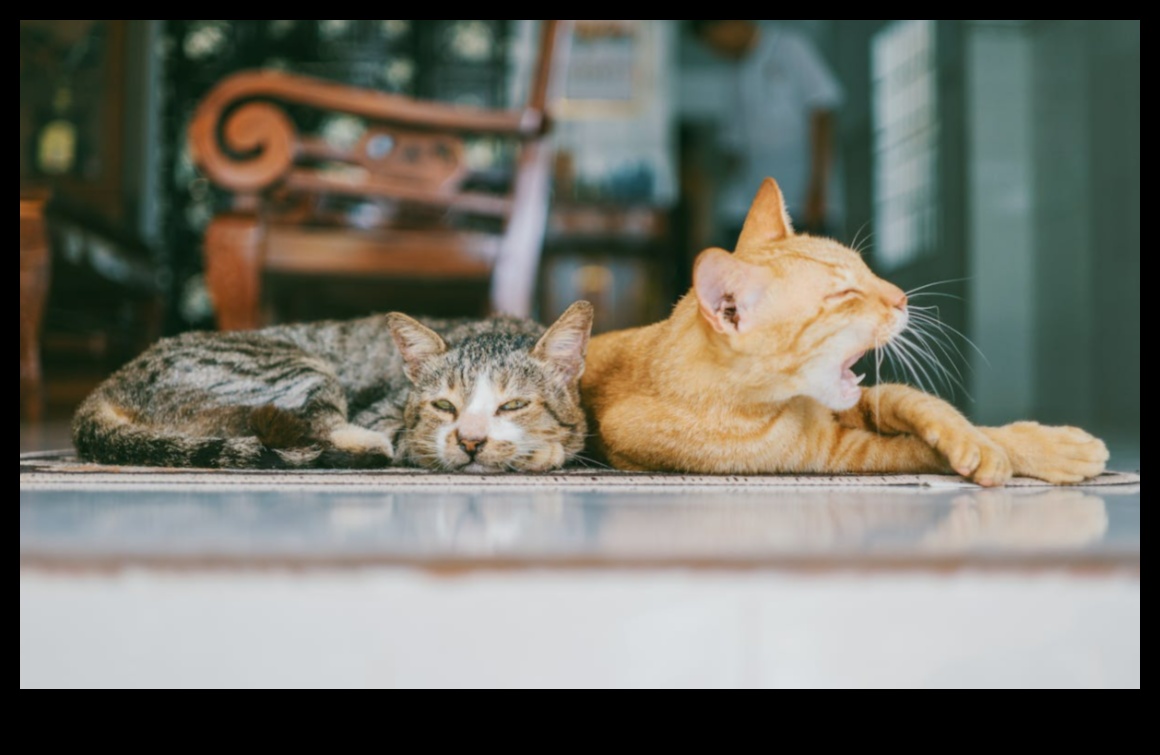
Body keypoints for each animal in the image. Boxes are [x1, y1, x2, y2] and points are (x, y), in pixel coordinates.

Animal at [73, 303, 593, 473]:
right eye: (444, 405)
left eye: (515, 404)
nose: (470, 440)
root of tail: (108, 386)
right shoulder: (389, 417)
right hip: (299, 368)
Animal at [584, 177, 1108, 487]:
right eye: (844, 295)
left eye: (866, 270)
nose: (901, 296)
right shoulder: (837, 454)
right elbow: (920, 451)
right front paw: (1016, 453)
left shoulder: (863, 403)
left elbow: (919, 402)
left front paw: (993, 440)